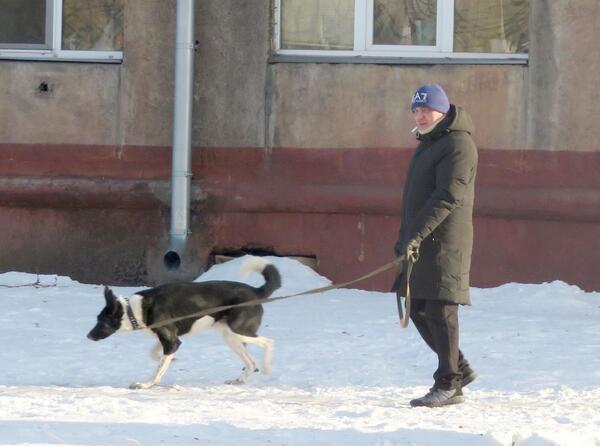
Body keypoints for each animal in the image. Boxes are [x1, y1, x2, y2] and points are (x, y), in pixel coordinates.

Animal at [86, 256, 282, 388]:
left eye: (101, 321)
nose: (88, 336)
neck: (134, 309)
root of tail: (256, 292)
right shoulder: (169, 338)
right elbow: (156, 355)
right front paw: (170, 360)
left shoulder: (172, 340)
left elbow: (158, 369)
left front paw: (147, 384)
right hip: (231, 337)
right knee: (251, 363)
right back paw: (239, 380)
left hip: (239, 330)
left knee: (269, 342)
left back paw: (266, 368)